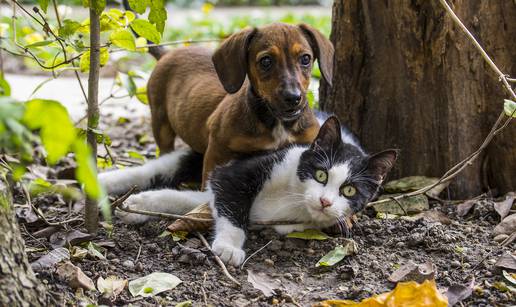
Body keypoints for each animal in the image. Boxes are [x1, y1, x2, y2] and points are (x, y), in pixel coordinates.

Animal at [101, 114, 400, 266]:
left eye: (349, 191)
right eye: (321, 174)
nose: (325, 201)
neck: (294, 197)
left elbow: (197, 200)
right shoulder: (239, 171)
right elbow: (232, 203)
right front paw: (229, 247)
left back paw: (133, 205)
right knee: (156, 168)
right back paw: (102, 183)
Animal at [145, 23, 334, 185]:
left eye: (305, 59)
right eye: (266, 61)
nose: (293, 98)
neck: (277, 123)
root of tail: (167, 54)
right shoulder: (217, 150)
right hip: (161, 124)